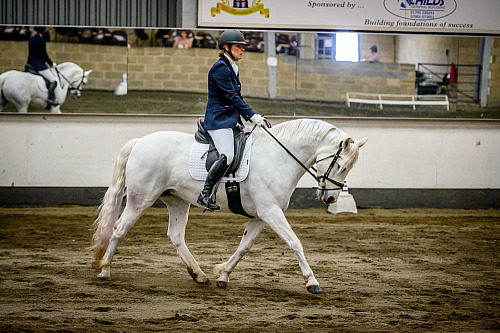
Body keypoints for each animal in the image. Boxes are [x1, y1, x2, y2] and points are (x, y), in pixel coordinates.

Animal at [92, 118, 370, 294]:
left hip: (177, 200)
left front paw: (223, 275)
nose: (331, 199)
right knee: (118, 229)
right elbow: (295, 243)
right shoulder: (271, 211)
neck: (279, 156)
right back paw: (105, 271)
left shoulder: (260, 215)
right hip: (141, 198)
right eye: (340, 165)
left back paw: (199, 274)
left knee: (176, 235)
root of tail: (139, 141)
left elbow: (244, 247)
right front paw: (312, 282)